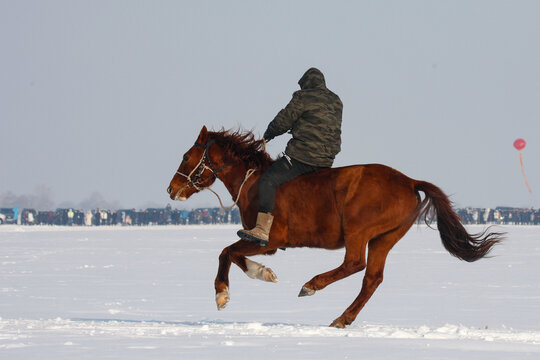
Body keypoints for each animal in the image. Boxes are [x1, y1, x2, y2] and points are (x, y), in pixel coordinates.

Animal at [168, 126, 502, 330]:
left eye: (186, 156)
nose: (171, 190)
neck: (252, 182)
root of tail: (409, 182)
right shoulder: (266, 243)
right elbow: (234, 254)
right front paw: (264, 273)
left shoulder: (268, 240)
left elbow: (226, 252)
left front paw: (222, 294)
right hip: (384, 238)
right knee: (372, 278)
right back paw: (342, 318)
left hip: (359, 231)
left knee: (354, 264)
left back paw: (311, 285)